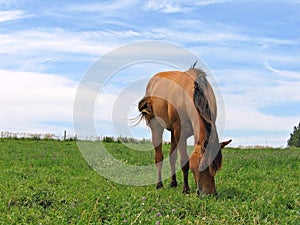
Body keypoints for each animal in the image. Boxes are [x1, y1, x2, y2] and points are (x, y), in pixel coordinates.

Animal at [138, 63, 232, 195]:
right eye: (202, 165)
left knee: (172, 157)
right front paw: (186, 189)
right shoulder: (180, 132)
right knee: (159, 157)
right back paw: (159, 184)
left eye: (217, 168)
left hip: (172, 132)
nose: (209, 194)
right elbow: (184, 161)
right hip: (157, 126)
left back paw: (173, 183)